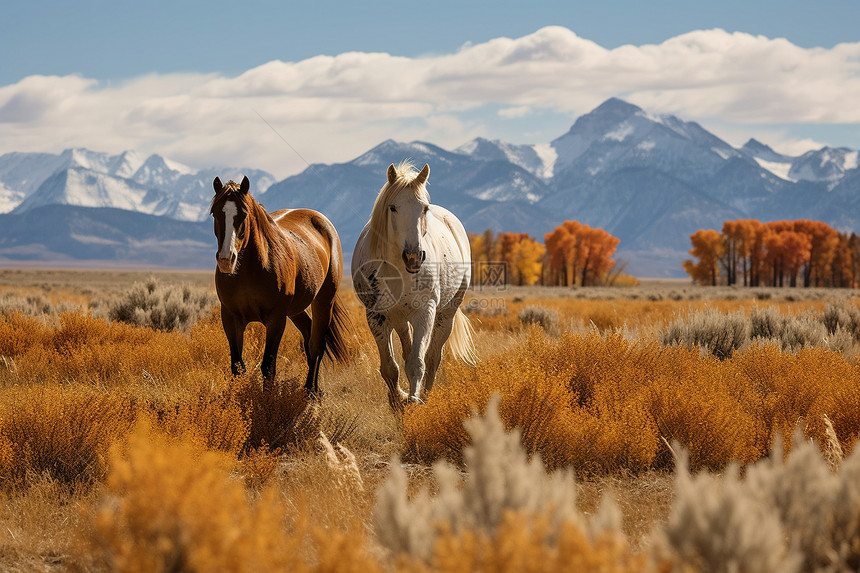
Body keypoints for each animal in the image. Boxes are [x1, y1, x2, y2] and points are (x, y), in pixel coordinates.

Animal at [210, 177, 354, 396]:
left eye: (243, 214)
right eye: (215, 213)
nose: (227, 260)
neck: (250, 270)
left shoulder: (276, 318)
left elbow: (268, 366)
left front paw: (267, 401)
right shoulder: (230, 317)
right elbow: (237, 366)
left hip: (324, 300)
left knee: (316, 343)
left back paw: (310, 391)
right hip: (296, 310)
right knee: (309, 334)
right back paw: (314, 389)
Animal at [352, 161, 478, 408]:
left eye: (424, 208)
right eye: (392, 208)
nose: (413, 257)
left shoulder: (424, 311)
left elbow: (417, 363)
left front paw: (414, 402)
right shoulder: (375, 315)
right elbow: (390, 367)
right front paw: (397, 401)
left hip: (445, 314)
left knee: (433, 357)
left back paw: (427, 396)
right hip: (399, 318)